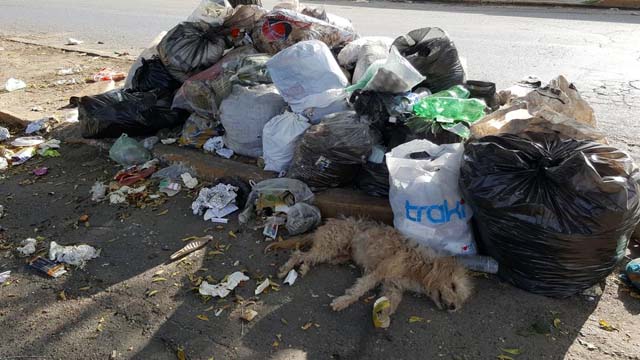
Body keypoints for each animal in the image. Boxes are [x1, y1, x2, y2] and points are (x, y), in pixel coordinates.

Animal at [268, 217, 472, 316]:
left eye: (460, 297)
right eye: (453, 286)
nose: (454, 307)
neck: (419, 266)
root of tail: (330, 222)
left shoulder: (393, 285)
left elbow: (393, 300)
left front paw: (384, 313)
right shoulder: (379, 272)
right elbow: (359, 289)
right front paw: (342, 302)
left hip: (335, 252)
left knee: (309, 257)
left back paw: (303, 268)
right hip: (331, 245)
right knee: (299, 254)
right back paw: (286, 269)